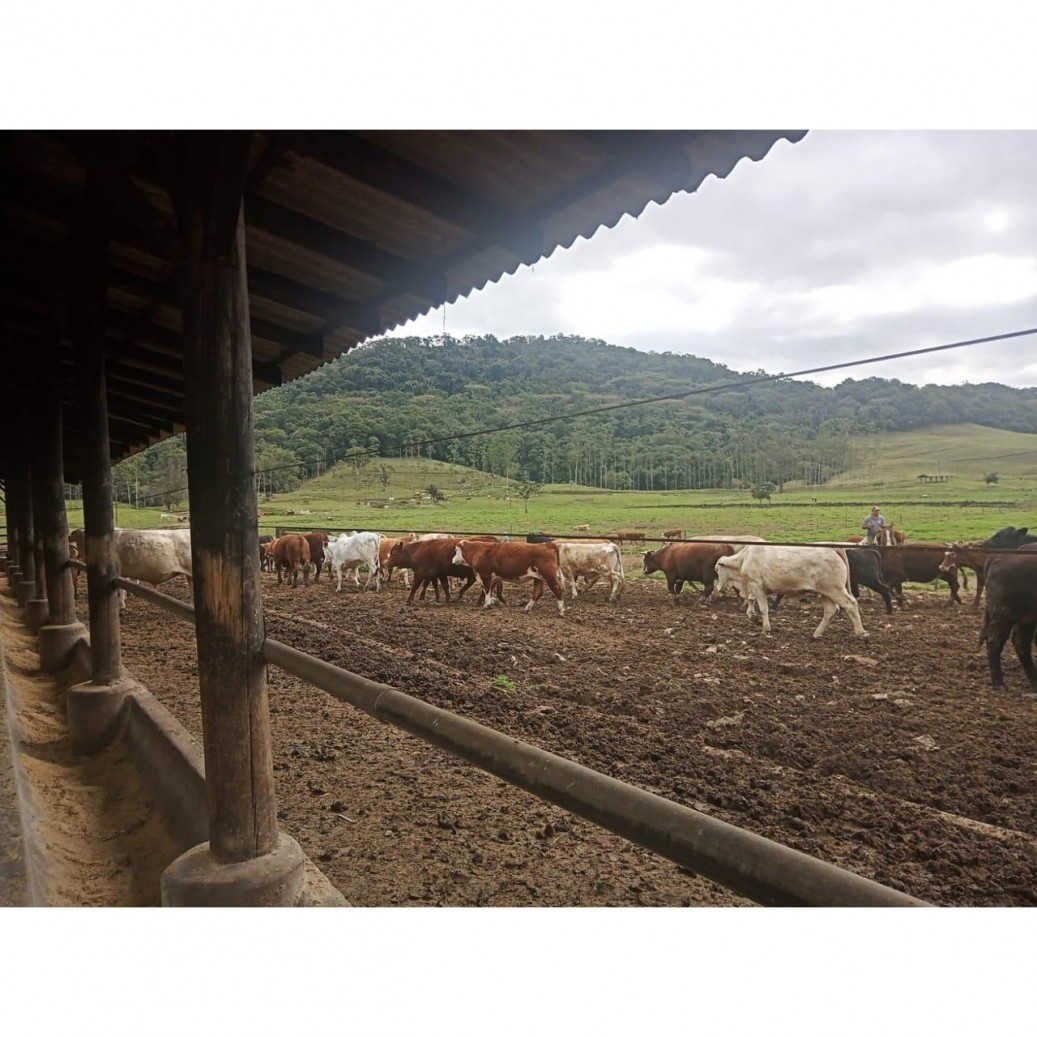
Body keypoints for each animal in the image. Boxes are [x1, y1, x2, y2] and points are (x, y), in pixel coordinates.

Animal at [713, 543, 866, 638]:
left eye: (717, 570)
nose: (718, 588)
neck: (745, 558)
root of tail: (832, 549)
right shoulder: (755, 587)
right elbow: (751, 601)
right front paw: (752, 616)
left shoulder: (757, 586)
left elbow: (763, 608)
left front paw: (765, 628)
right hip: (825, 593)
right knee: (830, 611)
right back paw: (817, 634)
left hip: (835, 590)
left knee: (851, 604)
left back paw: (860, 632)